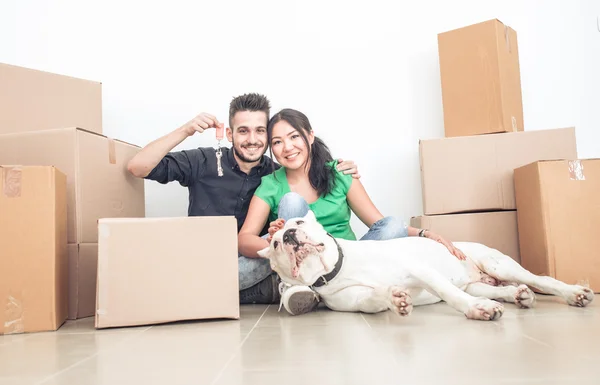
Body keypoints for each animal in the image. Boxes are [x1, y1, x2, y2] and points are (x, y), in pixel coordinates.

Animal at [255, 208, 592, 320]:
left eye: (298, 222)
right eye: (274, 244)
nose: (287, 235)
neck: (337, 270)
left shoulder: (421, 271)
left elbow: (452, 296)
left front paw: (476, 310)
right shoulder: (359, 301)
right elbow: (376, 297)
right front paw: (394, 298)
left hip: (499, 265)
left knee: (544, 280)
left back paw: (574, 293)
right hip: (480, 283)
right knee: (500, 290)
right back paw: (518, 295)